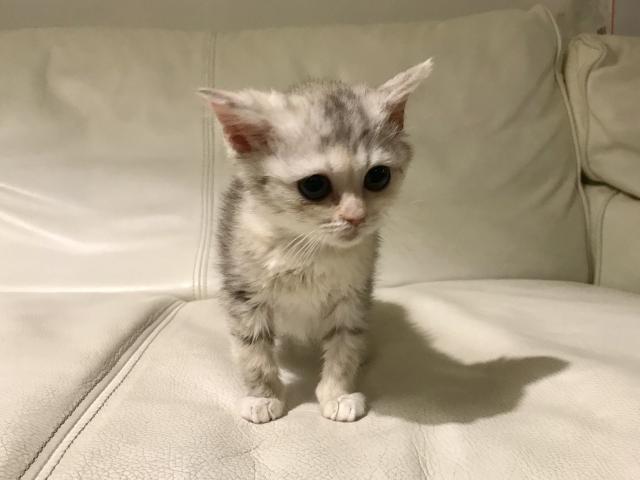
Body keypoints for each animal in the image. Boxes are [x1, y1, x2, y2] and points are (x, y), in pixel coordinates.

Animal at [199, 58, 433, 423]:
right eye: (314, 186)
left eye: (378, 176)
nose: (355, 216)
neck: (307, 248)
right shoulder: (243, 293)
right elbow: (253, 350)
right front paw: (262, 396)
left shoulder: (354, 295)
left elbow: (344, 345)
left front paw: (338, 393)